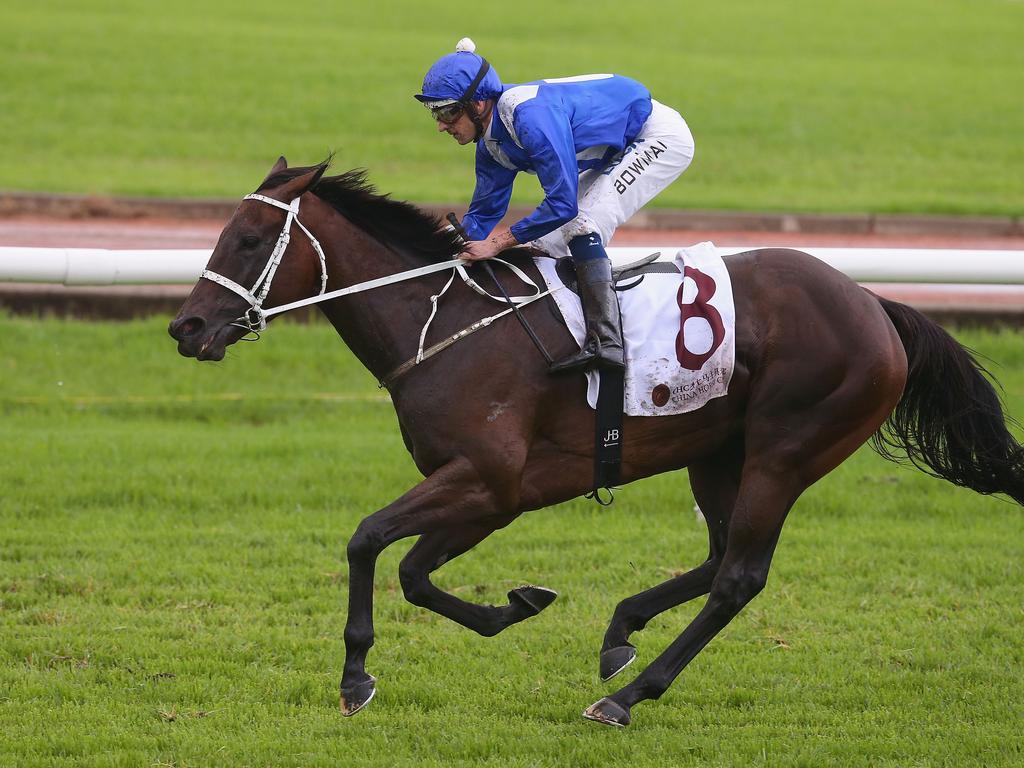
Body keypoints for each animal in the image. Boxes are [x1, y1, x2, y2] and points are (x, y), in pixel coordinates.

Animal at [169, 157, 1024, 729]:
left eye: (249, 239)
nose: (187, 326)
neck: (443, 324)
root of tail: (878, 306)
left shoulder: (487, 479)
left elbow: (366, 539)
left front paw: (354, 677)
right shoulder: (491, 494)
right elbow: (413, 572)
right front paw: (517, 604)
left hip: (787, 450)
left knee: (738, 578)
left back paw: (625, 695)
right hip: (719, 452)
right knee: (719, 557)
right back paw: (620, 634)